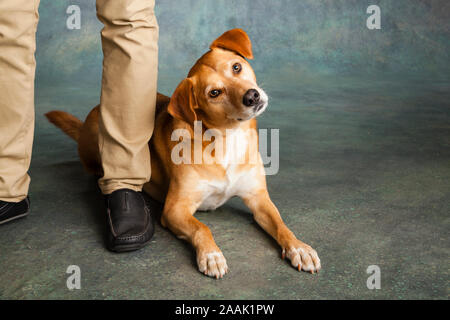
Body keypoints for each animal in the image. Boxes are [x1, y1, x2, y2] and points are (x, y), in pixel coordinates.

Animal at [45, 28, 320, 278]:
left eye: (236, 67)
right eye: (214, 93)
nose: (252, 96)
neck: (227, 139)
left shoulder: (258, 198)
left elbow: (281, 224)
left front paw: (299, 247)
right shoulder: (174, 209)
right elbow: (202, 228)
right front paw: (211, 255)